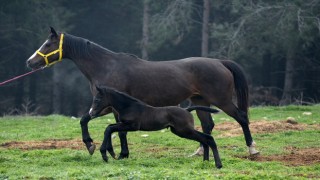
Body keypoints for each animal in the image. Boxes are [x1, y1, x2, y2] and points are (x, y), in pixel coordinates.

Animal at [26, 27, 258, 159]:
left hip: (222, 100)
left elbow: (118, 130)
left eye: (48, 44)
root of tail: (220, 62)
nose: (30, 62)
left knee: (242, 118)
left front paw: (115, 152)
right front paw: (94, 146)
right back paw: (199, 152)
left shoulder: (111, 106)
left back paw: (252, 149)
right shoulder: (104, 106)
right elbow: (88, 120)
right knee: (207, 126)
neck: (106, 66)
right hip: (200, 101)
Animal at [89, 86, 221, 168]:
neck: (129, 106)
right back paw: (206, 162)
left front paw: (105, 154)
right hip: (180, 131)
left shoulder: (132, 126)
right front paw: (111, 152)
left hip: (184, 130)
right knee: (204, 139)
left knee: (208, 138)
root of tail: (187, 109)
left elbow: (109, 128)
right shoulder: (124, 124)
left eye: (97, 99)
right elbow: (109, 127)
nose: (91, 113)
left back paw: (218, 164)